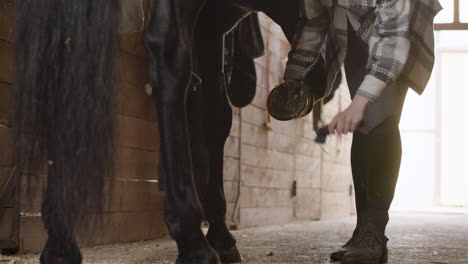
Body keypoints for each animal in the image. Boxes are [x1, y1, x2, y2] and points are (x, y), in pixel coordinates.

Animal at [14, 0, 330, 262]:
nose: (321, 82)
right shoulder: (211, 24)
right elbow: (217, 117)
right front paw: (219, 236)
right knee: (168, 55)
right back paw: (193, 244)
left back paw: (60, 243)